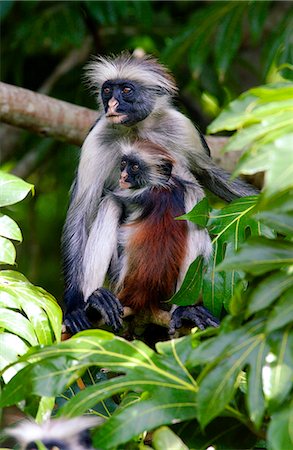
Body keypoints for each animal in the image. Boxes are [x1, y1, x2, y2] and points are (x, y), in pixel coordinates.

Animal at [61, 52, 256, 334]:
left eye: (126, 90)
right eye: (107, 90)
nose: (111, 103)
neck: (136, 129)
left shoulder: (181, 127)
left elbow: (210, 176)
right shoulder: (97, 137)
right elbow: (82, 210)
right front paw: (75, 306)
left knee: (192, 196)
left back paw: (185, 309)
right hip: (119, 279)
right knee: (109, 205)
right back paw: (95, 303)